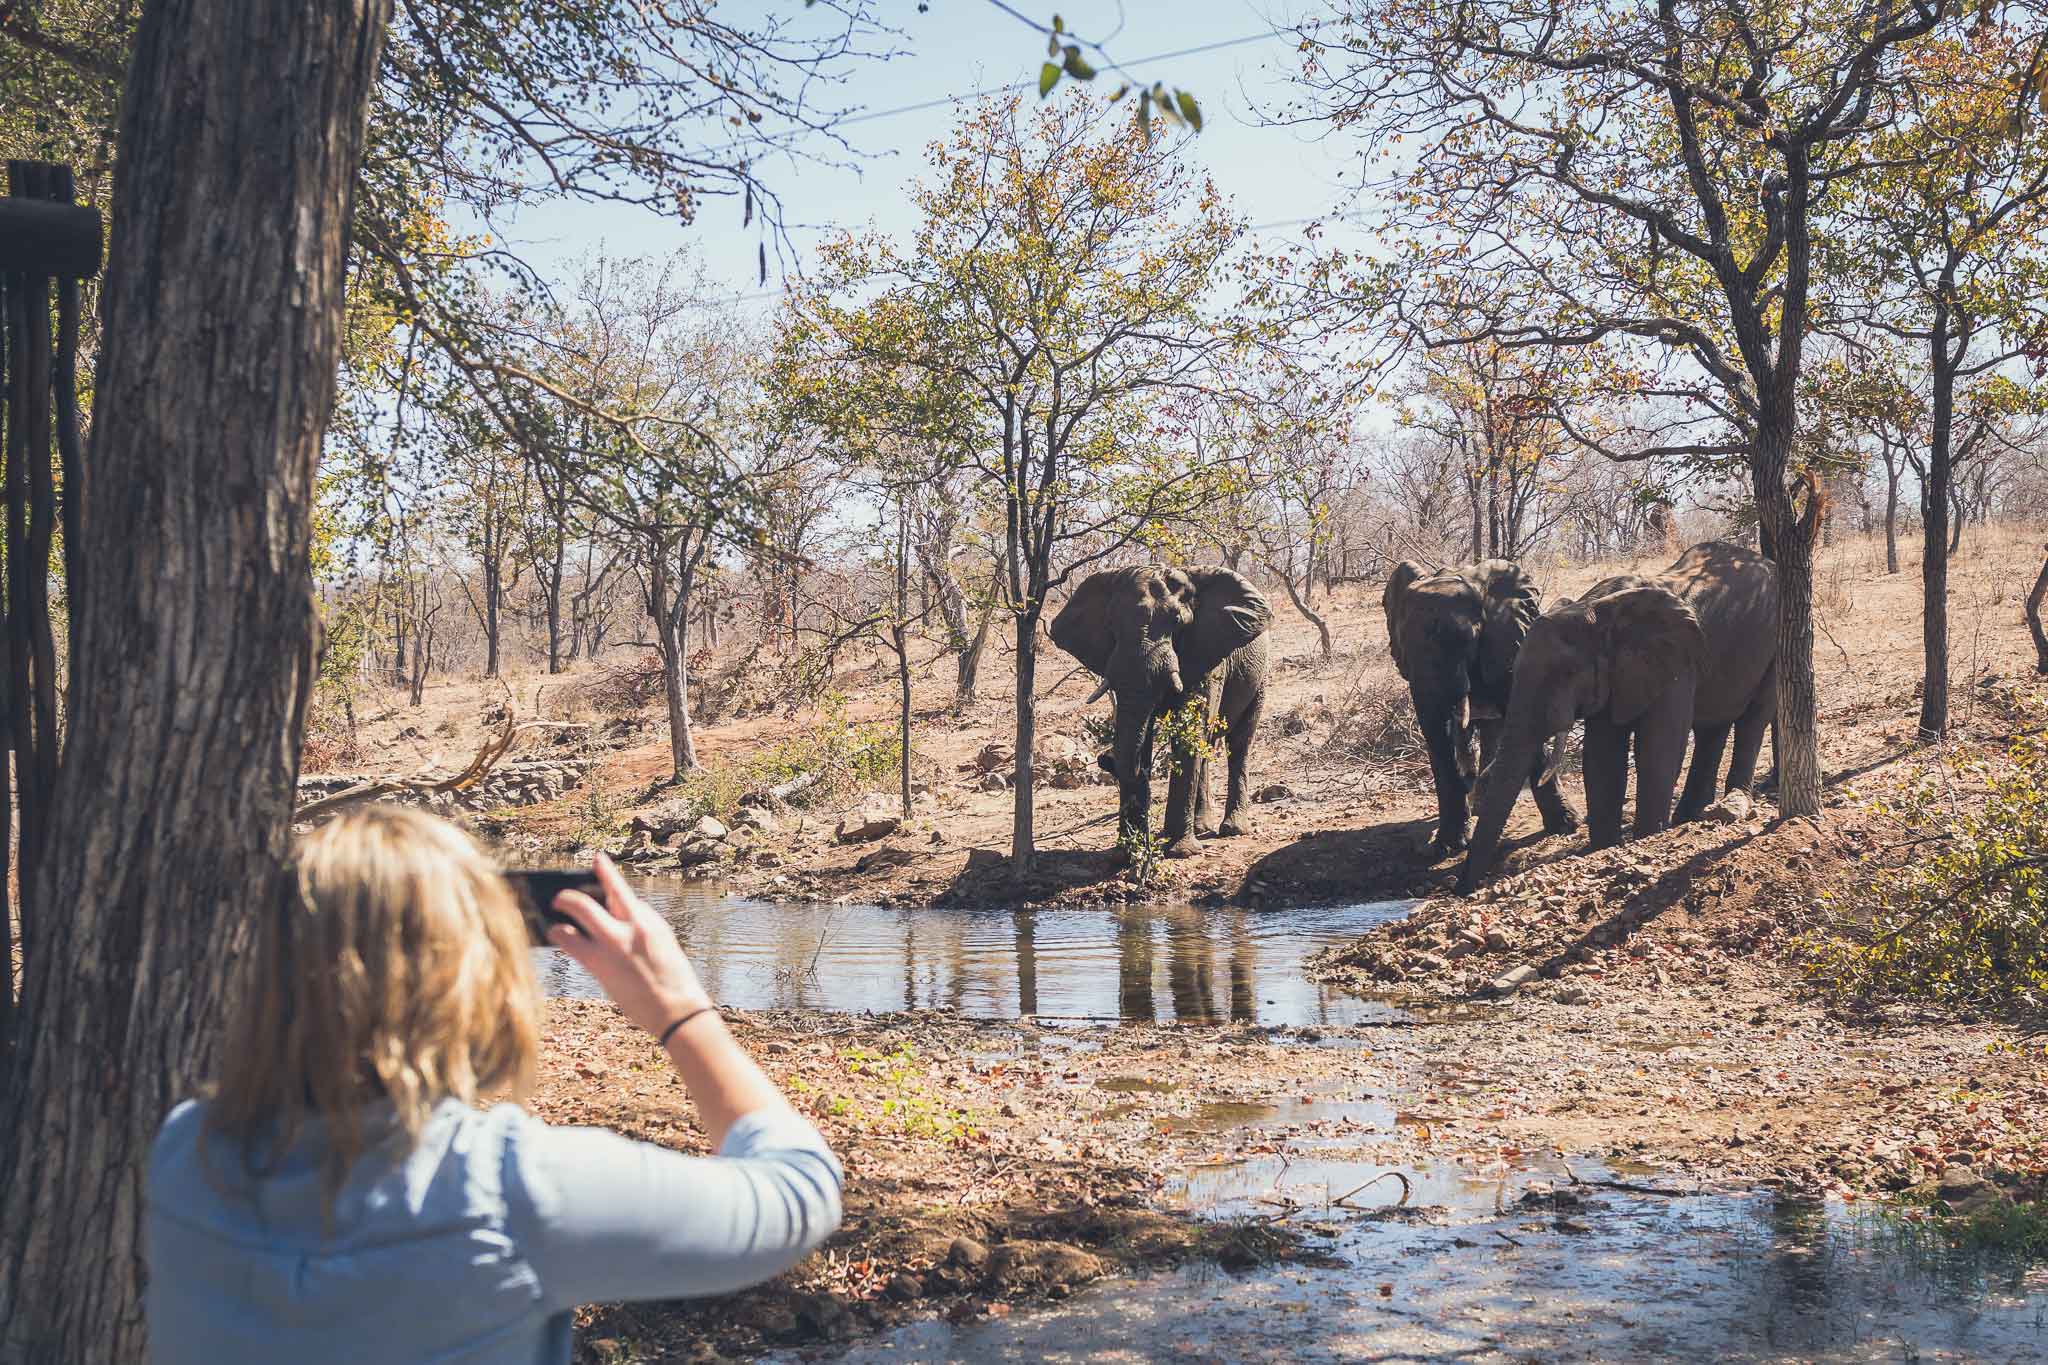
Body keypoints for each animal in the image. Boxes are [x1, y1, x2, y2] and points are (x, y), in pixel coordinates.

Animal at [1049, 566, 1272, 859]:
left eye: (1177, 621)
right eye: (1111, 624)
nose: (1104, 759)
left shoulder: (1208, 655)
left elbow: (1190, 729)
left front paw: (1180, 852)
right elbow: (1140, 728)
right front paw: (1126, 855)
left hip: (1261, 676)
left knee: (1239, 743)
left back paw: (1232, 829)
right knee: (1207, 747)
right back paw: (1199, 827)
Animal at [1383, 559, 1581, 855]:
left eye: (1469, 639)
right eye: (1403, 644)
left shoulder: (1506, 645)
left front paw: (1566, 826)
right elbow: (1440, 734)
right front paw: (1449, 845)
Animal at [1457, 541, 1780, 892]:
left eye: (1568, 674)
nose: (1462, 888)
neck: (1596, 610)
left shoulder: (1676, 659)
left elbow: (1659, 746)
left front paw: (1647, 837)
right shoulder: (1612, 674)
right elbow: (1602, 754)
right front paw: (1603, 847)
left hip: (1777, 642)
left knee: (1753, 719)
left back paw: (1732, 802)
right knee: (1712, 728)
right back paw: (1689, 816)